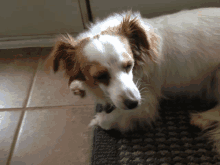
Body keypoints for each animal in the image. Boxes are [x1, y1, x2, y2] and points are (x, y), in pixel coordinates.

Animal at [44, 7, 220, 153]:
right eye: (100, 76)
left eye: (129, 65)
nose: (133, 103)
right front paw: (77, 84)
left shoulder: (146, 102)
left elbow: (112, 118)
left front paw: (100, 120)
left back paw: (203, 118)